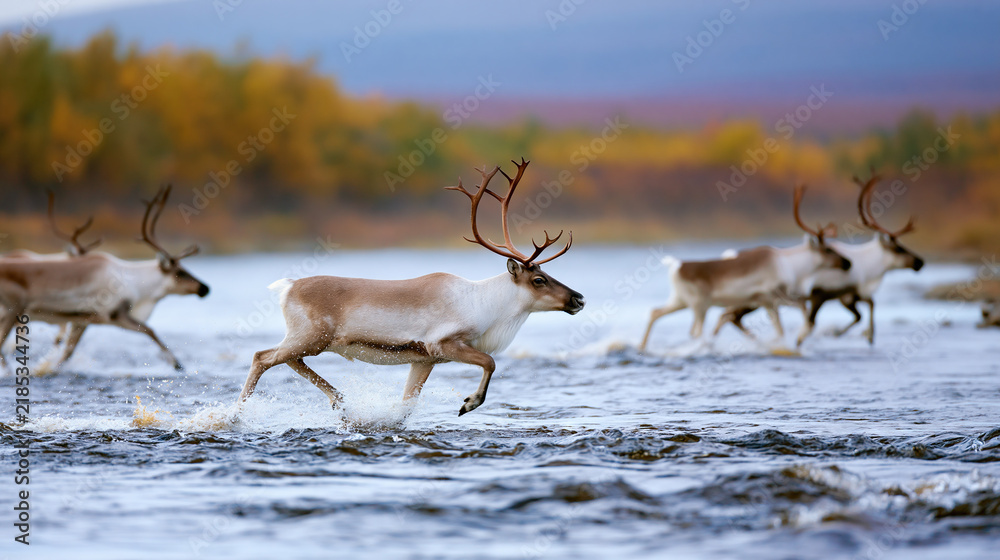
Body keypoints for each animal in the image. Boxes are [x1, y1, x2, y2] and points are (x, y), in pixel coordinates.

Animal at [0, 185, 210, 374]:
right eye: (180, 272)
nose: (205, 288)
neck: (135, 284)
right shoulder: (116, 315)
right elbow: (150, 330)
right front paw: (177, 364)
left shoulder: (82, 320)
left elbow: (68, 352)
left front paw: (47, 369)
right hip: (13, 310)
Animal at [237, 158, 585, 416]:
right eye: (538, 280)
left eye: (547, 273)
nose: (578, 298)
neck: (485, 305)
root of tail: (288, 286)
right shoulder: (443, 344)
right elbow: (491, 361)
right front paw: (468, 403)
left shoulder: (423, 359)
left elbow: (407, 405)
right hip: (310, 337)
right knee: (262, 356)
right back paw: (237, 414)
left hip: (311, 341)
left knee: (288, 361)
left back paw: (340, 401)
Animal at [638, 184, 851, 352]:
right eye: (829, 249)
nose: (847, 263)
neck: (790, 265)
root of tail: (676, 265)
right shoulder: (769, 299)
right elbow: (786, 323)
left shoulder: (773, 300)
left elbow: (799, 310)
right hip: (699, 304)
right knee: (696, 331)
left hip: (680, 301)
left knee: (655, 313)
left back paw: (642, 347)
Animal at [713, 171, 924, 346]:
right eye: (898, 248)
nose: (920, 262)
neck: (867, 267)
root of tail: (730, 255)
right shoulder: (821, 295)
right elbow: (813, 322)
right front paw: (807, 338)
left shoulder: (848, 295)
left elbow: (866, 308)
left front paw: (866, 335)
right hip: (751, 300)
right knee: (729, 316)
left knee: (729, 316)